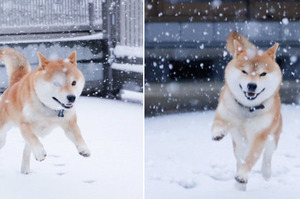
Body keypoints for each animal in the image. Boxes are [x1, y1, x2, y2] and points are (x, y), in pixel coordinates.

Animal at [212, 31, 282, 190]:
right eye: (244, 71)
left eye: (263, 74)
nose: (251, 85)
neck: (247, 109)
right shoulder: (224, 110)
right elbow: (218, 122)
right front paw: (218, 133)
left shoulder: (259, 136)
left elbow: (250, 159)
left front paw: (243, 176)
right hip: (239, 143)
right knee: (239, 159)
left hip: (273, 136)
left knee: (267, 155)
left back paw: (264, 173)